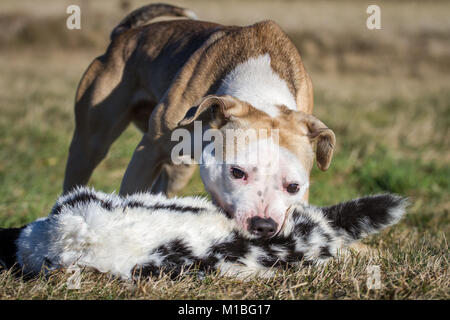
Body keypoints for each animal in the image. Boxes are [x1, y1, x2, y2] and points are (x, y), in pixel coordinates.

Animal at [65, 2, 336, 238]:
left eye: (294, 187)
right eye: (237, 172)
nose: (263, 225)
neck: (261, 90)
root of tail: (124, 34)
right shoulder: (148, 151)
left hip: (179, 168)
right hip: (90, 144)